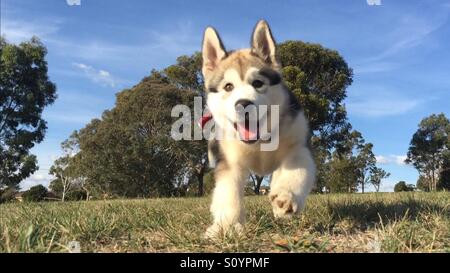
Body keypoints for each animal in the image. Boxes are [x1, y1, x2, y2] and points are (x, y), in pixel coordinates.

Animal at [202, 19, 314, 236]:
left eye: (258, 83)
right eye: (228, 87)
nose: (243, 104)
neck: (259, 142)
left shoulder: (299, 146)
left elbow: (296, 170)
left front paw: (286, 197)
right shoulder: (229, 162)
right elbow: (228, 192)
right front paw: (226, 226)